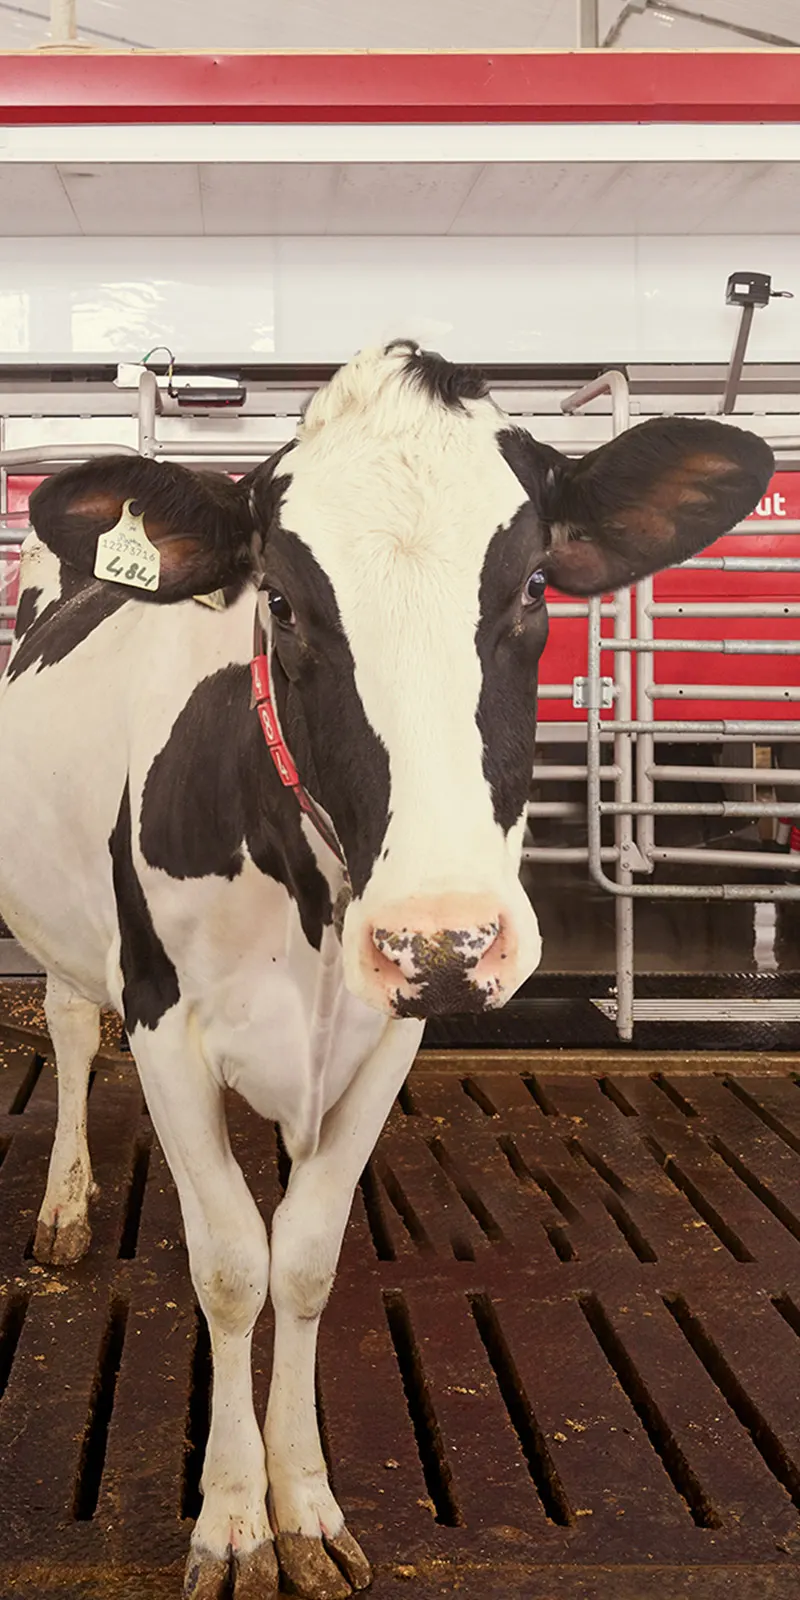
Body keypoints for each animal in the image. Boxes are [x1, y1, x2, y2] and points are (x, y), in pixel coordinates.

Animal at [0, 341, 772, 1599]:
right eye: (281, 601)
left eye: (531, 590)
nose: (441, 933)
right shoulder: (165, 1018)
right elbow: (232, 1265)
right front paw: (232, 1521)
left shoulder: (389, 1033)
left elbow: (305, 1260)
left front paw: (305, 1506)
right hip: (61, 919)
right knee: (71, 1025)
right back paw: (65, 1204)